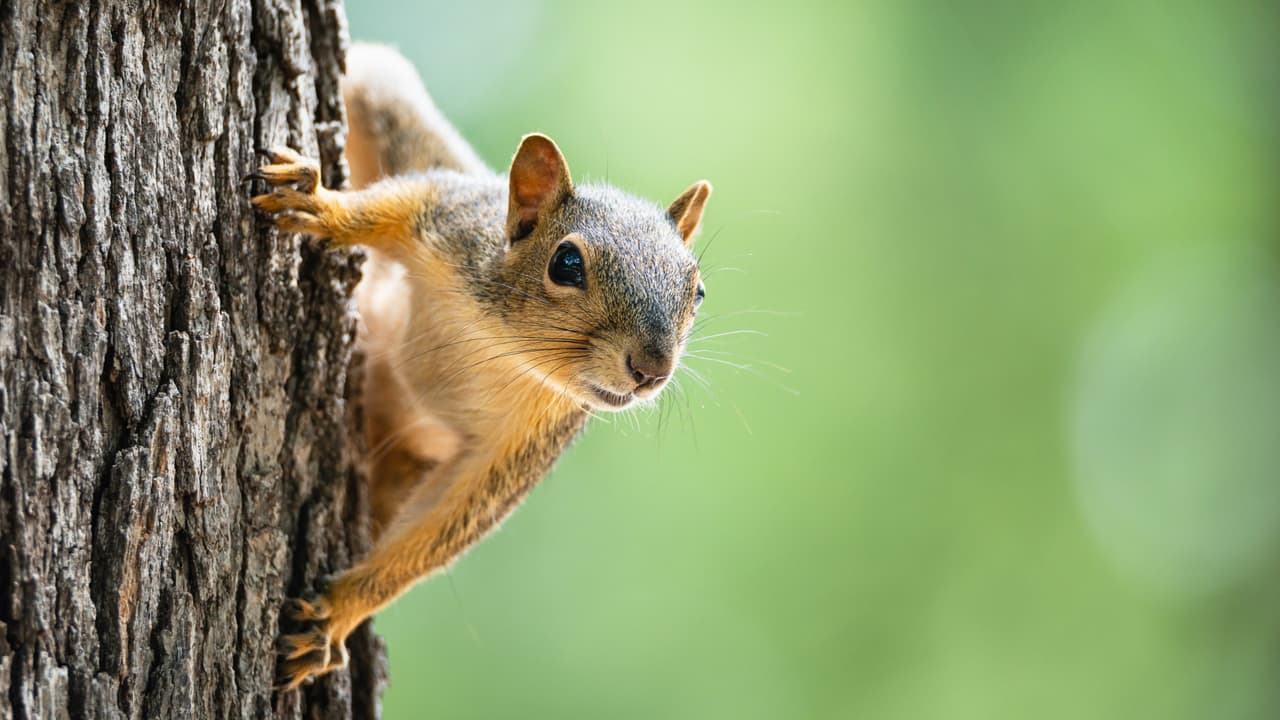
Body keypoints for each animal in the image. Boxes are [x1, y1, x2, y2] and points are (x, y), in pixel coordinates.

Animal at [249, 43, 713, 690]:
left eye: (698, 293)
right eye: (566, 263)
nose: (651, 369)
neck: (502, 346)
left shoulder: (526, 444)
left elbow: (445, 525)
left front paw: (336, 615)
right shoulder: (449, 220)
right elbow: (385, 208)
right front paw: (321, 205)